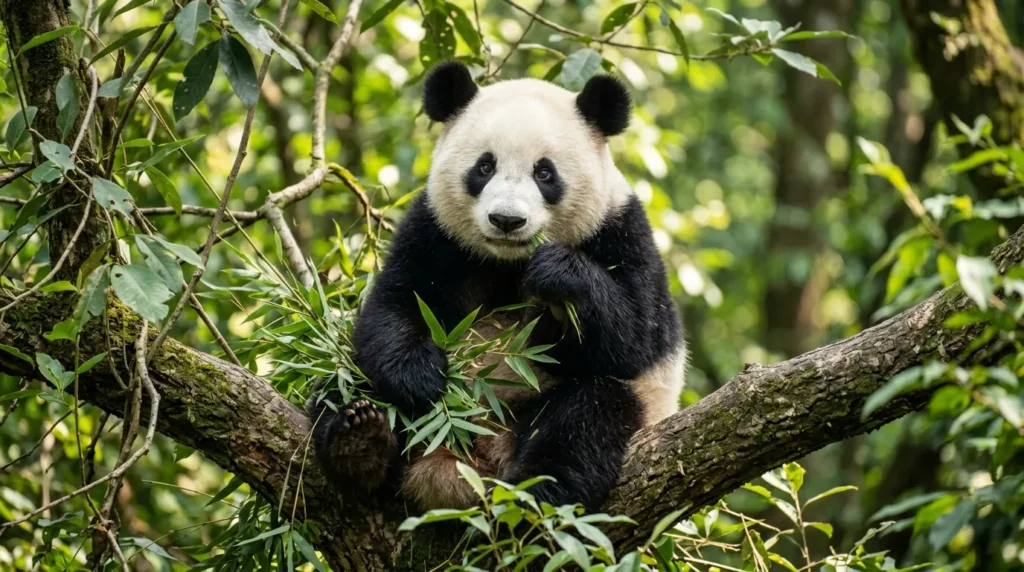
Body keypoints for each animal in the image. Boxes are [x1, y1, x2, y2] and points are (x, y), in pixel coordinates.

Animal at [308, 61, 686, 512]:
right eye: (484, 167)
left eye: (545, 172)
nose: (507, 220)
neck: (508, 262)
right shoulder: (436, 233)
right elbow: (396, 305)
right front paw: (420, 378)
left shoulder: (622, 231)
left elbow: (635, 339)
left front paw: (559, 276)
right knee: (341, 384)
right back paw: (359, 440)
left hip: (619, 405)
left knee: (586, 417)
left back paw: (535, 493)